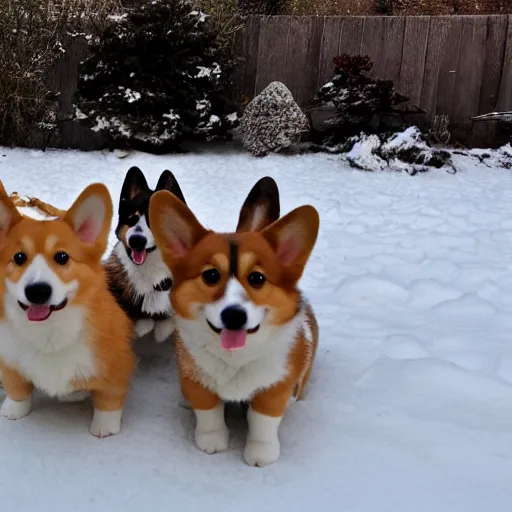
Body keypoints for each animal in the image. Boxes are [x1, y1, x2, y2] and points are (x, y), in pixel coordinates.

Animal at [0, 180, 136, 436]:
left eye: (62, 257)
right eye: (19, 257)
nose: (37, 291)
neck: (49, 331)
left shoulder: (116, 368)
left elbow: (109, 402)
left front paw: (104, 428)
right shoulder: (9, 360)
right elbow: (16, 389)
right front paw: (13, 411)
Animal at [149, 177, 320, 468]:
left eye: (257, 278)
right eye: (211, 275)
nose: (234, 315)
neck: (236, 357)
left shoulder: (274, 387)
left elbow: (263, 420)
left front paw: (261, 453)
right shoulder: (197, 381)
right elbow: (208, 412)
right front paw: (212, 442)